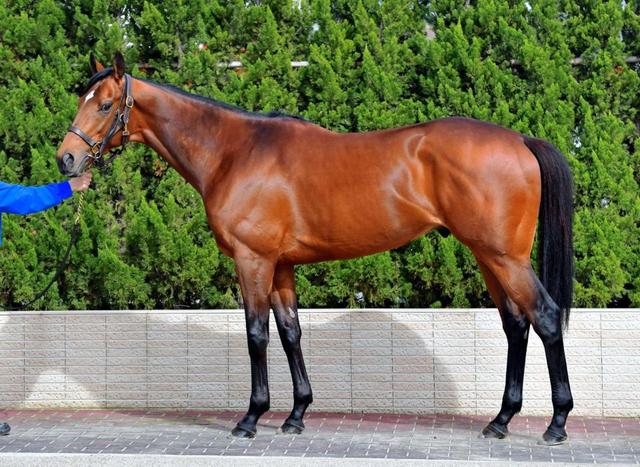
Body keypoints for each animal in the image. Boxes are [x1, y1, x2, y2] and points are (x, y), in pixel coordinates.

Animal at [56, 53, 574, 444]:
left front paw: (251, 418)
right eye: (83, 100)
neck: (234, 153)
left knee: (545, 318)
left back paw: (556, 423)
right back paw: (500, 421)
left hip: (505, 258)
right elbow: (290, 332)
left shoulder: (253, 261)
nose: (67, 159)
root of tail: (520, 140)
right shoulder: (281, 265)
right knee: (516, 325)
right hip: (489, 257)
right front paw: (296, 415)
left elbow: (256, 335)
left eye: (104, 105)